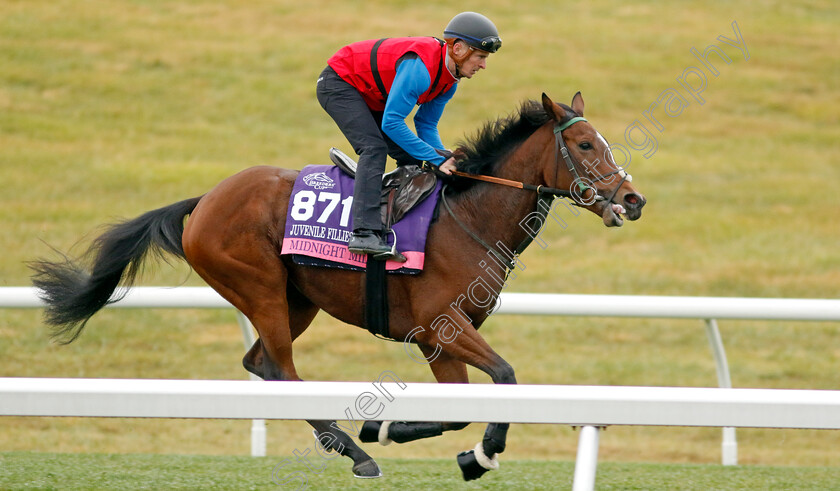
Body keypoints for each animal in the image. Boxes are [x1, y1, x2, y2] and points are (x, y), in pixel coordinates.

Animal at [29, 92, 648, 480]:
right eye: (586, 145)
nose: (633, 198)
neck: (469, 218)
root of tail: (204, 200)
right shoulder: (442, 324)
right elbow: (506, 376)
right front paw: (481, 454)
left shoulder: (439, 339)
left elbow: (456, 409)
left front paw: (391, 428)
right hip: (258, 287)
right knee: (282, 371)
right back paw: (354, 454)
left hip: (297, 299)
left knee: (260, 362)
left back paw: (355, 445)